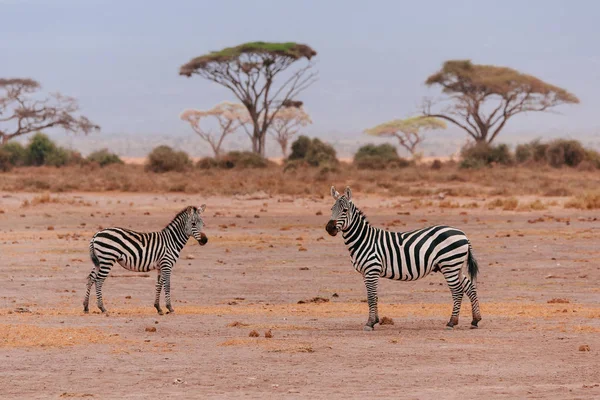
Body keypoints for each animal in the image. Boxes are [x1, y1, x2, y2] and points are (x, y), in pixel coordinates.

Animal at [326, 188, 480, 332]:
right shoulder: (366, 273)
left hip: (450, 265)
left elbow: (370, 297)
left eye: (345, 210)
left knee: (457, 291)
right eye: (332, 209)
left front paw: (369, 323)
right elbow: (375, 296)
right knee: (469, 287)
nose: (329, 228)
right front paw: (375, 321)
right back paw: (475, 320)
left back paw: (451, 322)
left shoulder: (372, 270)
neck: (364, 240)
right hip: (456, 266)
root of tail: (463, 234)